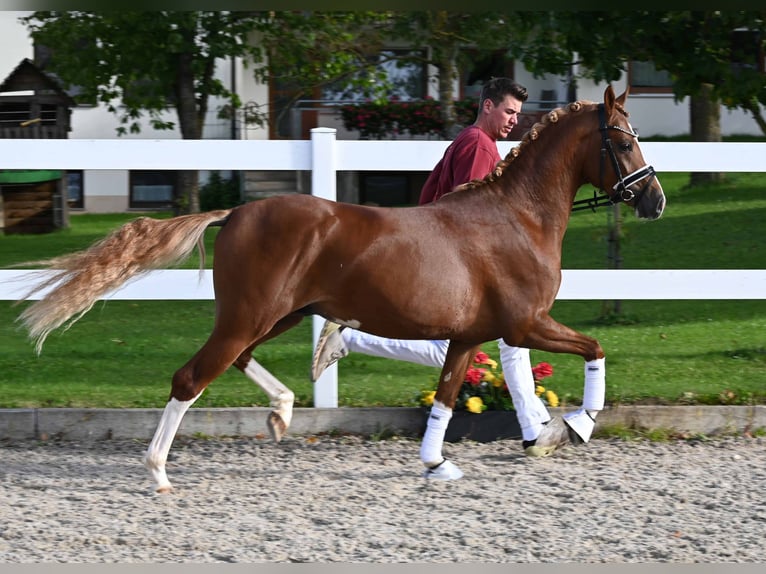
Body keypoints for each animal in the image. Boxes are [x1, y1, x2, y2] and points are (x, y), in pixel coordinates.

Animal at [14, 85, 665, 492]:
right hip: (251, 314)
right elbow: (595, 349)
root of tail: (234, 213)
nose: (655, 200)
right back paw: (158, 471)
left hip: (272, 315)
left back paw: (285, 406)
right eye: (624, 140)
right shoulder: (525, 323)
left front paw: (436, 463)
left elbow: (446, 397)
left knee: (239, 361)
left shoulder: (468, 336)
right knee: (190, 378)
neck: (517, 217)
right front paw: (576, 425)